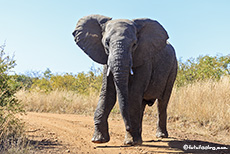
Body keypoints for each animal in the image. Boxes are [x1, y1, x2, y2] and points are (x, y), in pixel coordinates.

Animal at [73, 14, 177, 146]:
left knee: (162, 102)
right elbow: (107, 94)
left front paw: (131, 142)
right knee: (142, 104)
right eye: (107, 43)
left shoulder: (144, 60)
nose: (128, 127)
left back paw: (160, 136)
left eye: (134, 44)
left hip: (173, 69)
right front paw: (98, 140)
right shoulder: (106, 59)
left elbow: (133, 95)